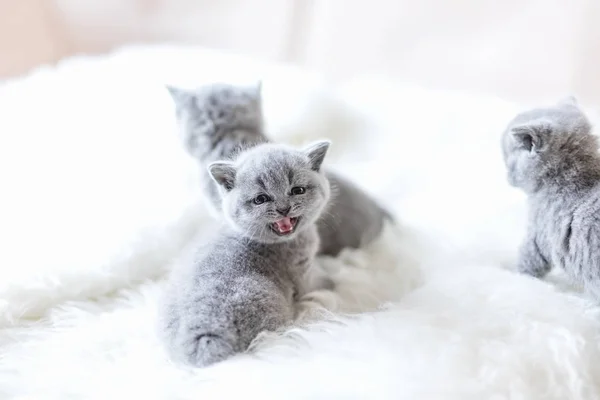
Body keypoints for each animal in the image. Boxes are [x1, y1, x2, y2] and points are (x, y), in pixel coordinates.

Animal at [157, 141, 330, 368]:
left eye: (297, 190)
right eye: (261, 199)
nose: (284, 209)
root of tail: (204, 333)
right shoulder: (301, 271)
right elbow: (317, 282)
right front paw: (333, 280)